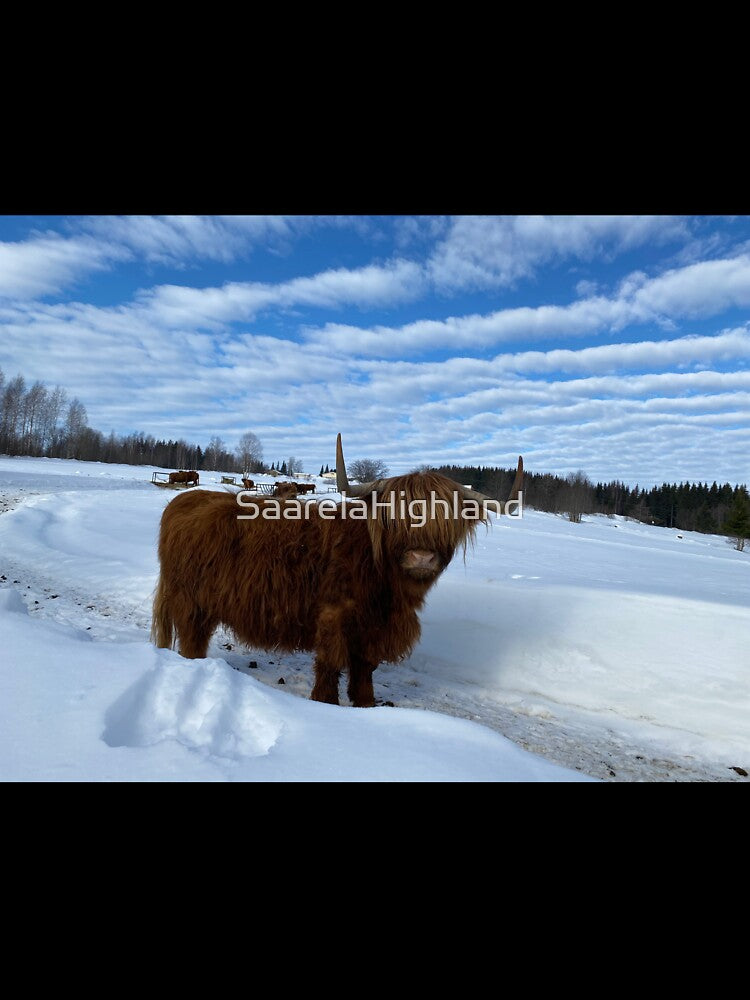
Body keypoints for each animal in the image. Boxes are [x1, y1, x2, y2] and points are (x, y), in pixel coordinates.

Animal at [152, 434, 523, 707]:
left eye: (447, 519)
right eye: (395, 516)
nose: (421, 557)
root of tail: (184, 501)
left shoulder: (373, 629)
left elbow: (364, 669)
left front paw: (365, 704)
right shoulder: (334, 616)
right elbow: (331, 663)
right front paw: (326, 703)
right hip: (191, 604)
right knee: (191, 643)